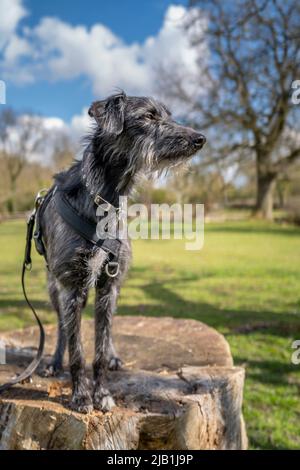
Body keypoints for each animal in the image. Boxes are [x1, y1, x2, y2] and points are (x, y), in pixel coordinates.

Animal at [39, 91, 205, 412]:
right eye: (148, 117)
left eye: (168, 116)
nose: (199, 139)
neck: (106, 197)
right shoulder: (72, 286)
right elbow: (77, 351)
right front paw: (81, 396)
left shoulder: (109, 285)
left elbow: (100, 351)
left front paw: (102, 393)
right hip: (55, 287)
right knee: (63, 328)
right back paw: (54, 361)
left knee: (107, 328)